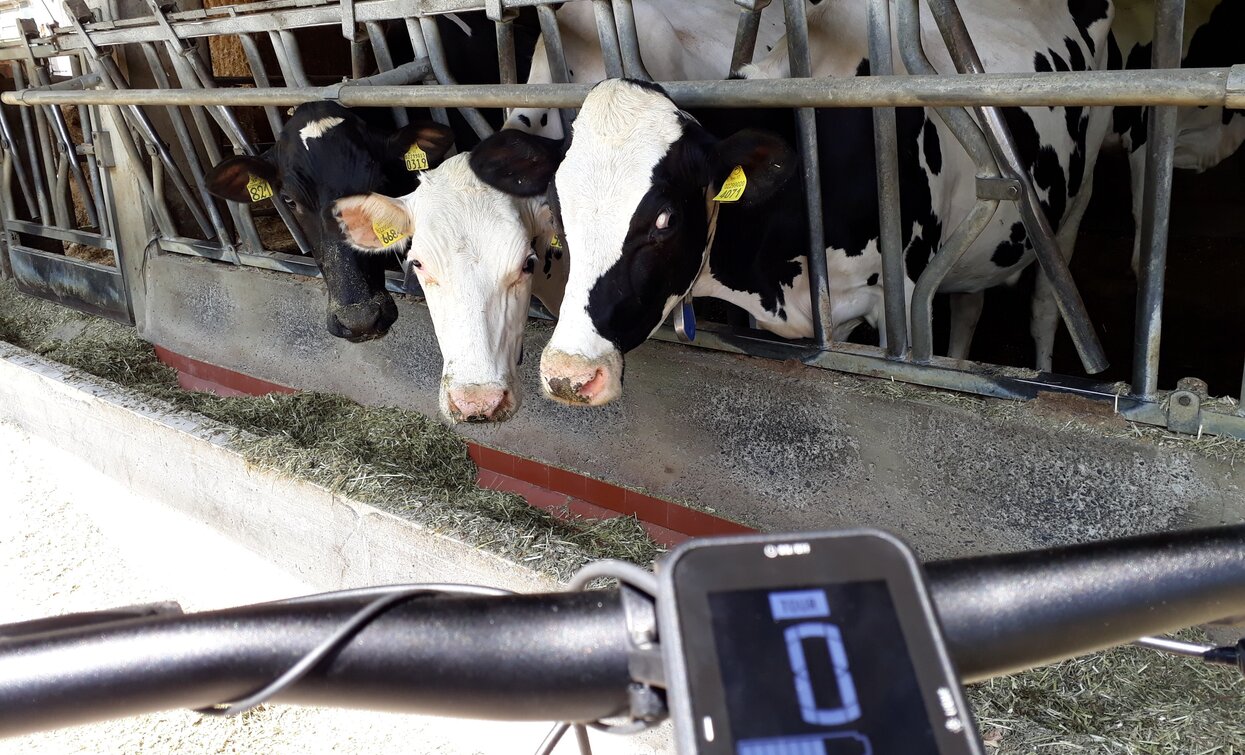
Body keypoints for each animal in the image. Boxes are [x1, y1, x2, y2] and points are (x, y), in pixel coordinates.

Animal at [520, 1, 1115, 408]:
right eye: (559, 213)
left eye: (665, 220)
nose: (568, 374)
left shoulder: (896, 300)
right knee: (971, 302)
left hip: (1077, 199)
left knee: (1046, 306)